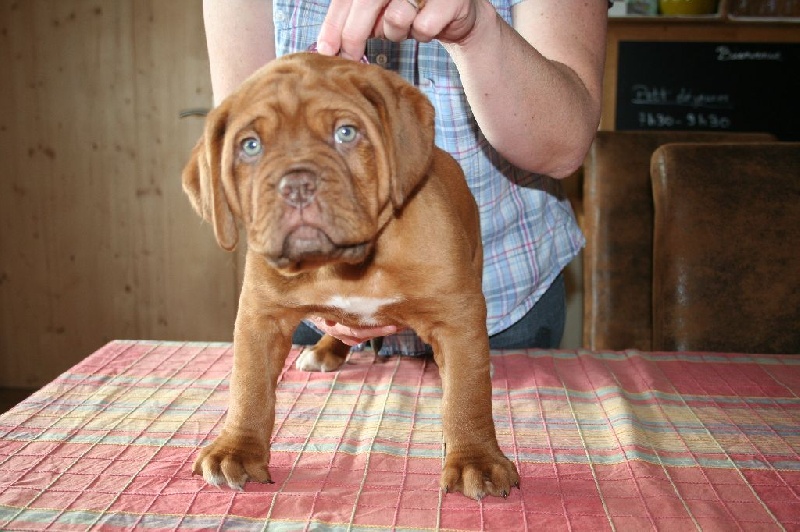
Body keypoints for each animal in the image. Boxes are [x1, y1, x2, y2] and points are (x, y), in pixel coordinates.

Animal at [183, 52, 519, 500]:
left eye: (346, 133)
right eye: (250, 145)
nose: (297, 184)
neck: (343, 265)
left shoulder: (457, 315)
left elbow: (466, 393)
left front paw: (475, 459)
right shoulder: (260, 317)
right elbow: (249, 387)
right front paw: (235, 449)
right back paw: (326, 349)